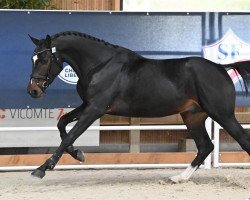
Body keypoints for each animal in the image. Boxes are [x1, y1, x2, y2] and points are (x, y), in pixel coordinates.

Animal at [26, 31, 250, 183]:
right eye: (33, 58)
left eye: (44, 58)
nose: (33, 90)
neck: (101, 65)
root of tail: (221, 67)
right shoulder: (88, 106)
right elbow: (62, 124)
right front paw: (78, 154)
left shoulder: (95, 109)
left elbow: (70, 136)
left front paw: (41, 169)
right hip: (193, 117)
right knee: (205, 146)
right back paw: (178, 178)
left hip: (222, 114)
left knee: (241, 139)